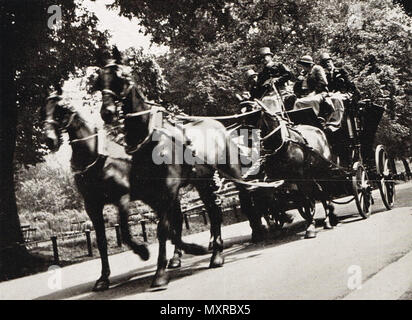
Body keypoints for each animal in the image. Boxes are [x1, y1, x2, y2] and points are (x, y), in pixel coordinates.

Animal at [96, 62, 264, 288]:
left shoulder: (168, 190)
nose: (107, 112)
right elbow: (161, 230)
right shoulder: (150, 195)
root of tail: (218, 125)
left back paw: (256, 232)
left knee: (245, 195)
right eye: (99, 82)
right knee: (214, 211)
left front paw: (160, 272)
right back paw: (217, 253)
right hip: (204, 181)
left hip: (231, 170)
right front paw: (150, 252)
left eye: (120, 79)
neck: (151, 141)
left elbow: (163, 229)